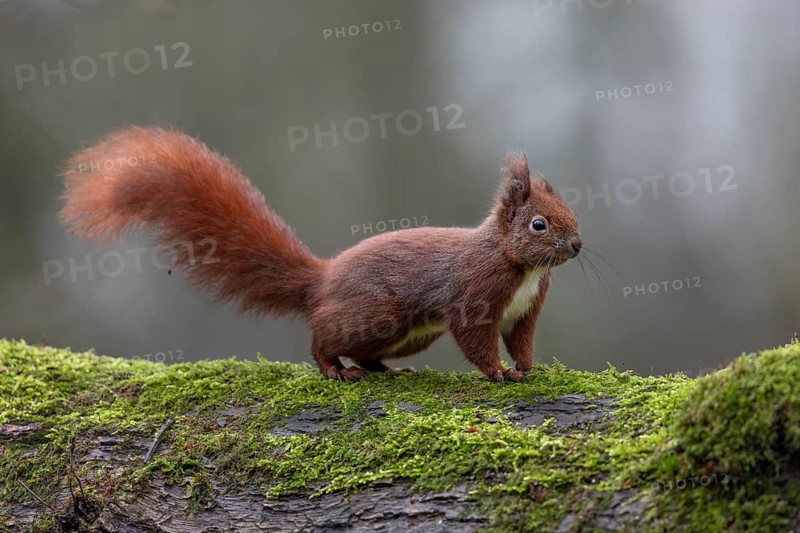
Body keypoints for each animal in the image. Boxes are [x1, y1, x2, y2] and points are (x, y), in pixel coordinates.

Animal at [60, 126, 581, 382]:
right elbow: (477, 339)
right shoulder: (475, 293)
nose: (577, 244)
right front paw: (498, 373)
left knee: (366, 353)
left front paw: (527, 368)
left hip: (406, 333)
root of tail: (323, 279)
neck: (521, 267)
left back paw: (386, 369)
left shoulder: (524, 311)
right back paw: (334, 369)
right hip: (377, 314)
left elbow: (521, 340)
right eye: (538, 224)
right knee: (321, 338)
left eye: (570, 211)